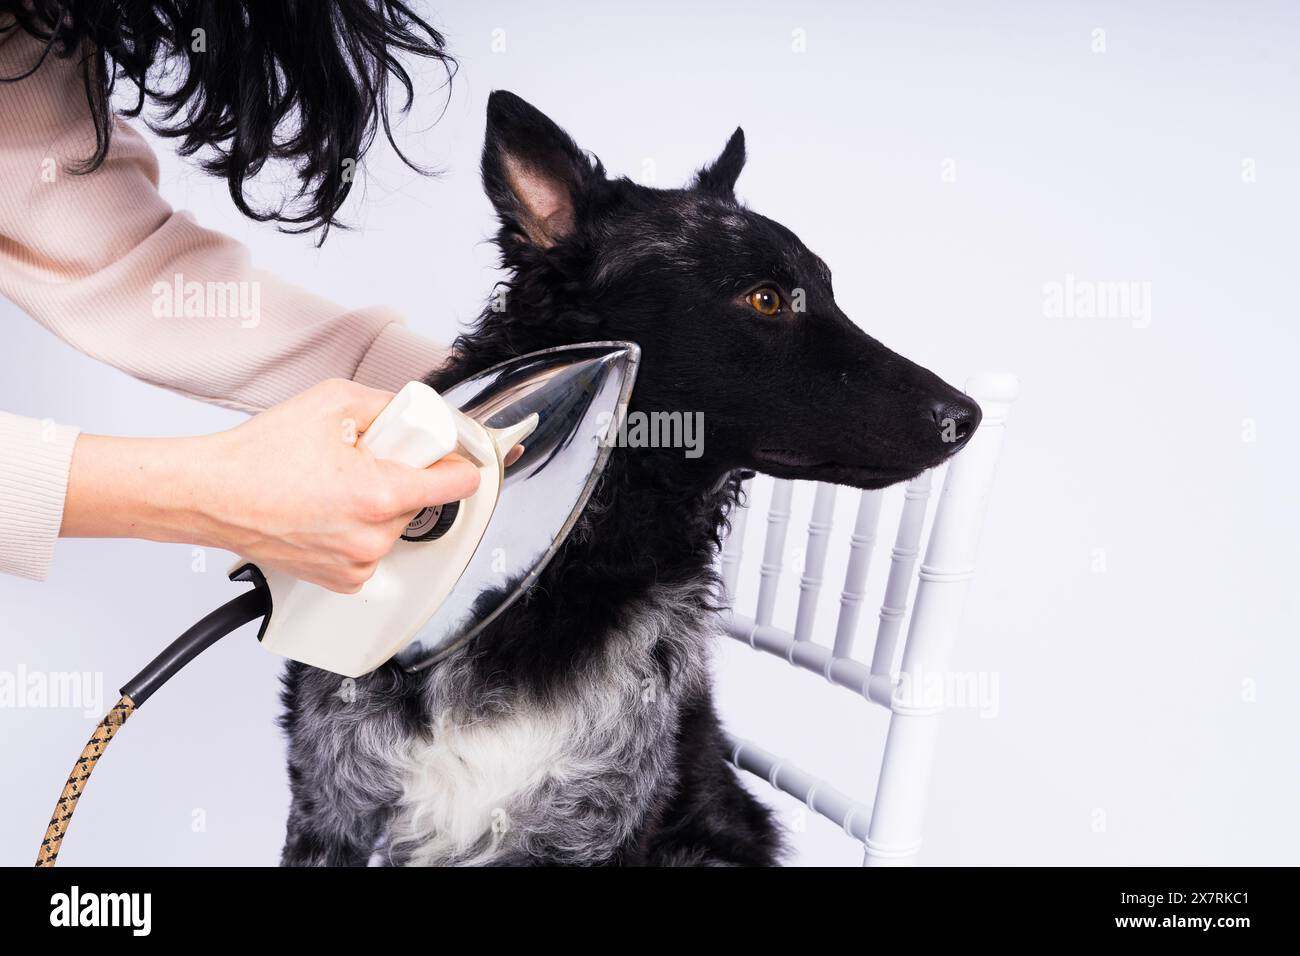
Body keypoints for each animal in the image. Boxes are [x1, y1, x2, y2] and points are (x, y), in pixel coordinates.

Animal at [282, 91, 977, 868]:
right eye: (767, 300)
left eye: (827, 290)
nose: (966, 416)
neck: (576, 556)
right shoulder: (328, 809)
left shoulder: (589, 823)